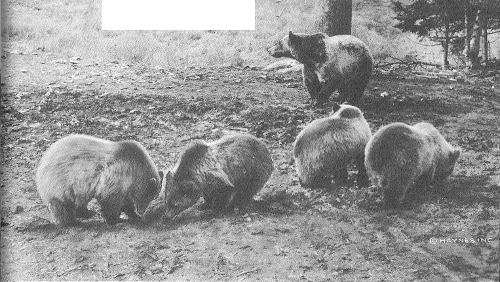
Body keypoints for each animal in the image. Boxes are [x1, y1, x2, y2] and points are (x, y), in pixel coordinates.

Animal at [141, 132, 274, 223]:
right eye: (166, 202)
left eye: (175, 204)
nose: (166, 217)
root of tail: (265, 147)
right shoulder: (204, 183)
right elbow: (208, 193)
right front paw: (205, 204)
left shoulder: (218, 176)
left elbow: (225, 190)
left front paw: (215, 210)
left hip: (254, 170)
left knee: (246, 191)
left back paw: (237, 205)